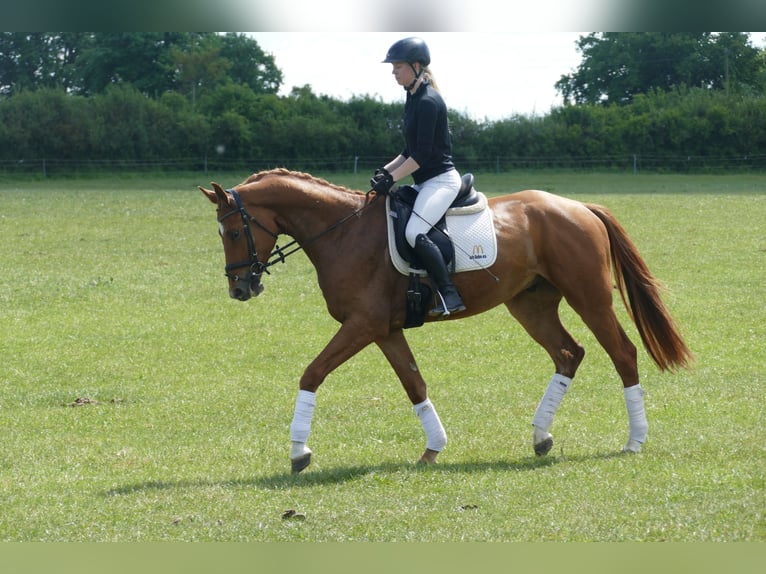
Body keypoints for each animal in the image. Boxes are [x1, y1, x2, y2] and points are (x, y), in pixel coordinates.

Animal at [199, 168, 693, 473]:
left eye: (235, 230)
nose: (240, 289)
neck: (343, 231)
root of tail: (580, 207)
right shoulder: (385, 330)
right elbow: (414, 384)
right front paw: (432, 449)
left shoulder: (362, 325)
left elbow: (312, 373)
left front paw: (299, 452)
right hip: (530, 305)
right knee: (569, 353)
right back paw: (540, 436)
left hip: (589, 298)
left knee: (622, 353)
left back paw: (634, 440)